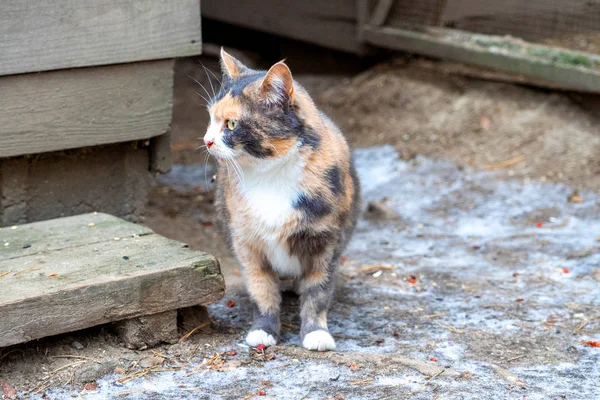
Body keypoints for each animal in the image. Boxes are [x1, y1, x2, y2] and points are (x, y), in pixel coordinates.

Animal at [204, 49, 358, 350]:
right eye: (211, 119)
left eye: (232, 124)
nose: (207, 140)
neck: (269, 177)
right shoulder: (246, 242)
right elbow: (261, 288)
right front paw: (263, 330)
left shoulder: (327, 242)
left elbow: (318, 290)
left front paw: (316, 333)